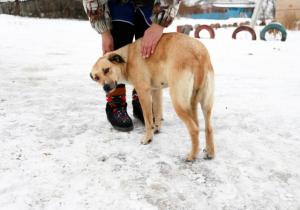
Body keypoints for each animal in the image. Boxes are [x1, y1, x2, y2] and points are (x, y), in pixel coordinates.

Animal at [90, 32, 214, 161]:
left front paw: (148, 138)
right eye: (96, 78)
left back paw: (192, 155)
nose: (106, 88)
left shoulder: (143, 91)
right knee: (208, 128)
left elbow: (148, 119)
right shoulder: (156, 91)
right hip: (205, 104)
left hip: (178, 102)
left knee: (194, 129)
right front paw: (157, 128)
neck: (127, 59)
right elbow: (158, 112)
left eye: (106, 69)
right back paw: (210, 152)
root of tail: (198, 54)